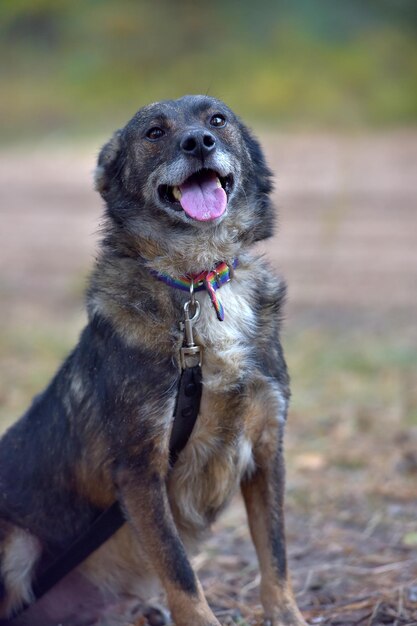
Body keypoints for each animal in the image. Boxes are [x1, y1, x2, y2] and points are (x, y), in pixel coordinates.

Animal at [0, 94, 306, 624]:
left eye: (217, 120)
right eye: (155, 133)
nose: (198, 142)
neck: (197, 282)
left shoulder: (268, 449)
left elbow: (276, 557)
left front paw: (288, 616)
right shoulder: (141, 470)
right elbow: (179, 571)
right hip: (15, 541)